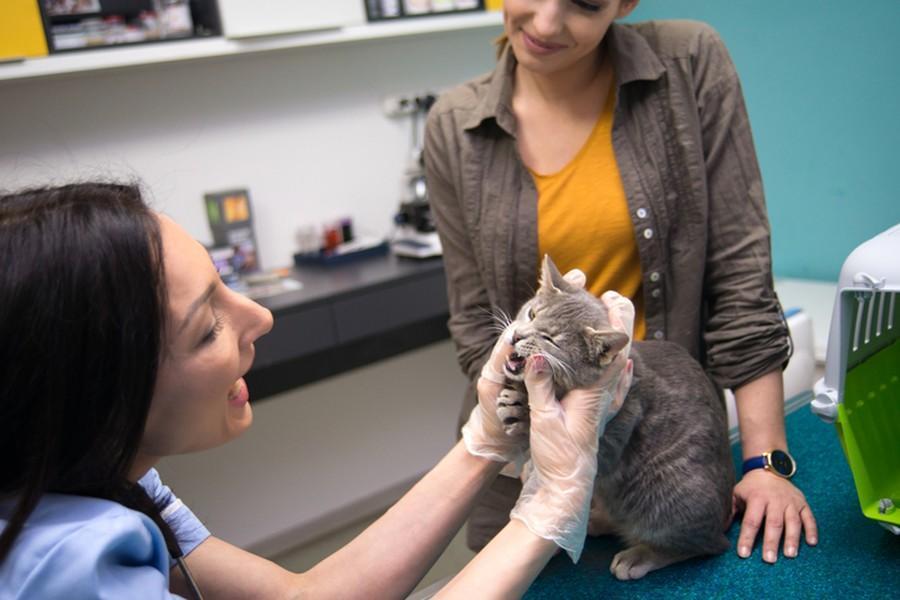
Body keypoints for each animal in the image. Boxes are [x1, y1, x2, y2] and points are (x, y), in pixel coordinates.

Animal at [496, 255, 736, 580]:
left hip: (674, 493)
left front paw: (524, 414)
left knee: (703, 544)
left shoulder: (613, 436)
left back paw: (639, 555)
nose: (516, 335)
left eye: (549, 339)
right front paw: (515, 399)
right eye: (532, 313)